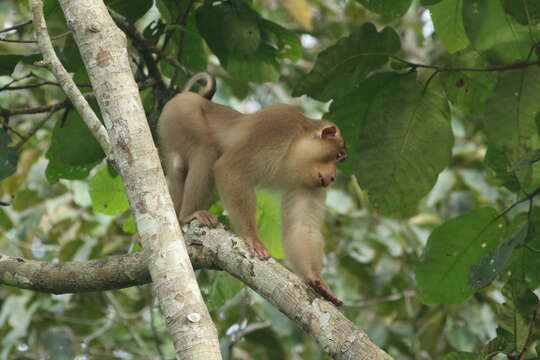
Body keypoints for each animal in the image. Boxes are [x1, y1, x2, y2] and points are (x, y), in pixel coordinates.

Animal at [158, 71, 348, 306]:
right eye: (338, 156)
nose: (332, 177)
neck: (298, 146)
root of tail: (192, 98)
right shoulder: (278, 124)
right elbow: (231, 169)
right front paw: (252, 237)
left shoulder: (310, 184)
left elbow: (301, 228)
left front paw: (316, 279)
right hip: (181, 114)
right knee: (206, 148)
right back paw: (189, 213)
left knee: (179, 168)